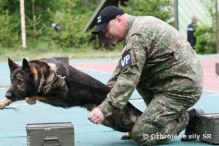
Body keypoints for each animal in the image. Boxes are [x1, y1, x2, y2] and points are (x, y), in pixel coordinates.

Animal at [0, 58, 142, 138]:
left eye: (20, 81)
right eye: (11, 80)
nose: (7, 94)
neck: (45, 75)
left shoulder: (57, 92)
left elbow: (34, 94)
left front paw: (30, 99)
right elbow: (19, 96)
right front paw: (3, 102)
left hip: (120, 121)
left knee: (137, 121)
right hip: (108, 121)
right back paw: (129, 135)